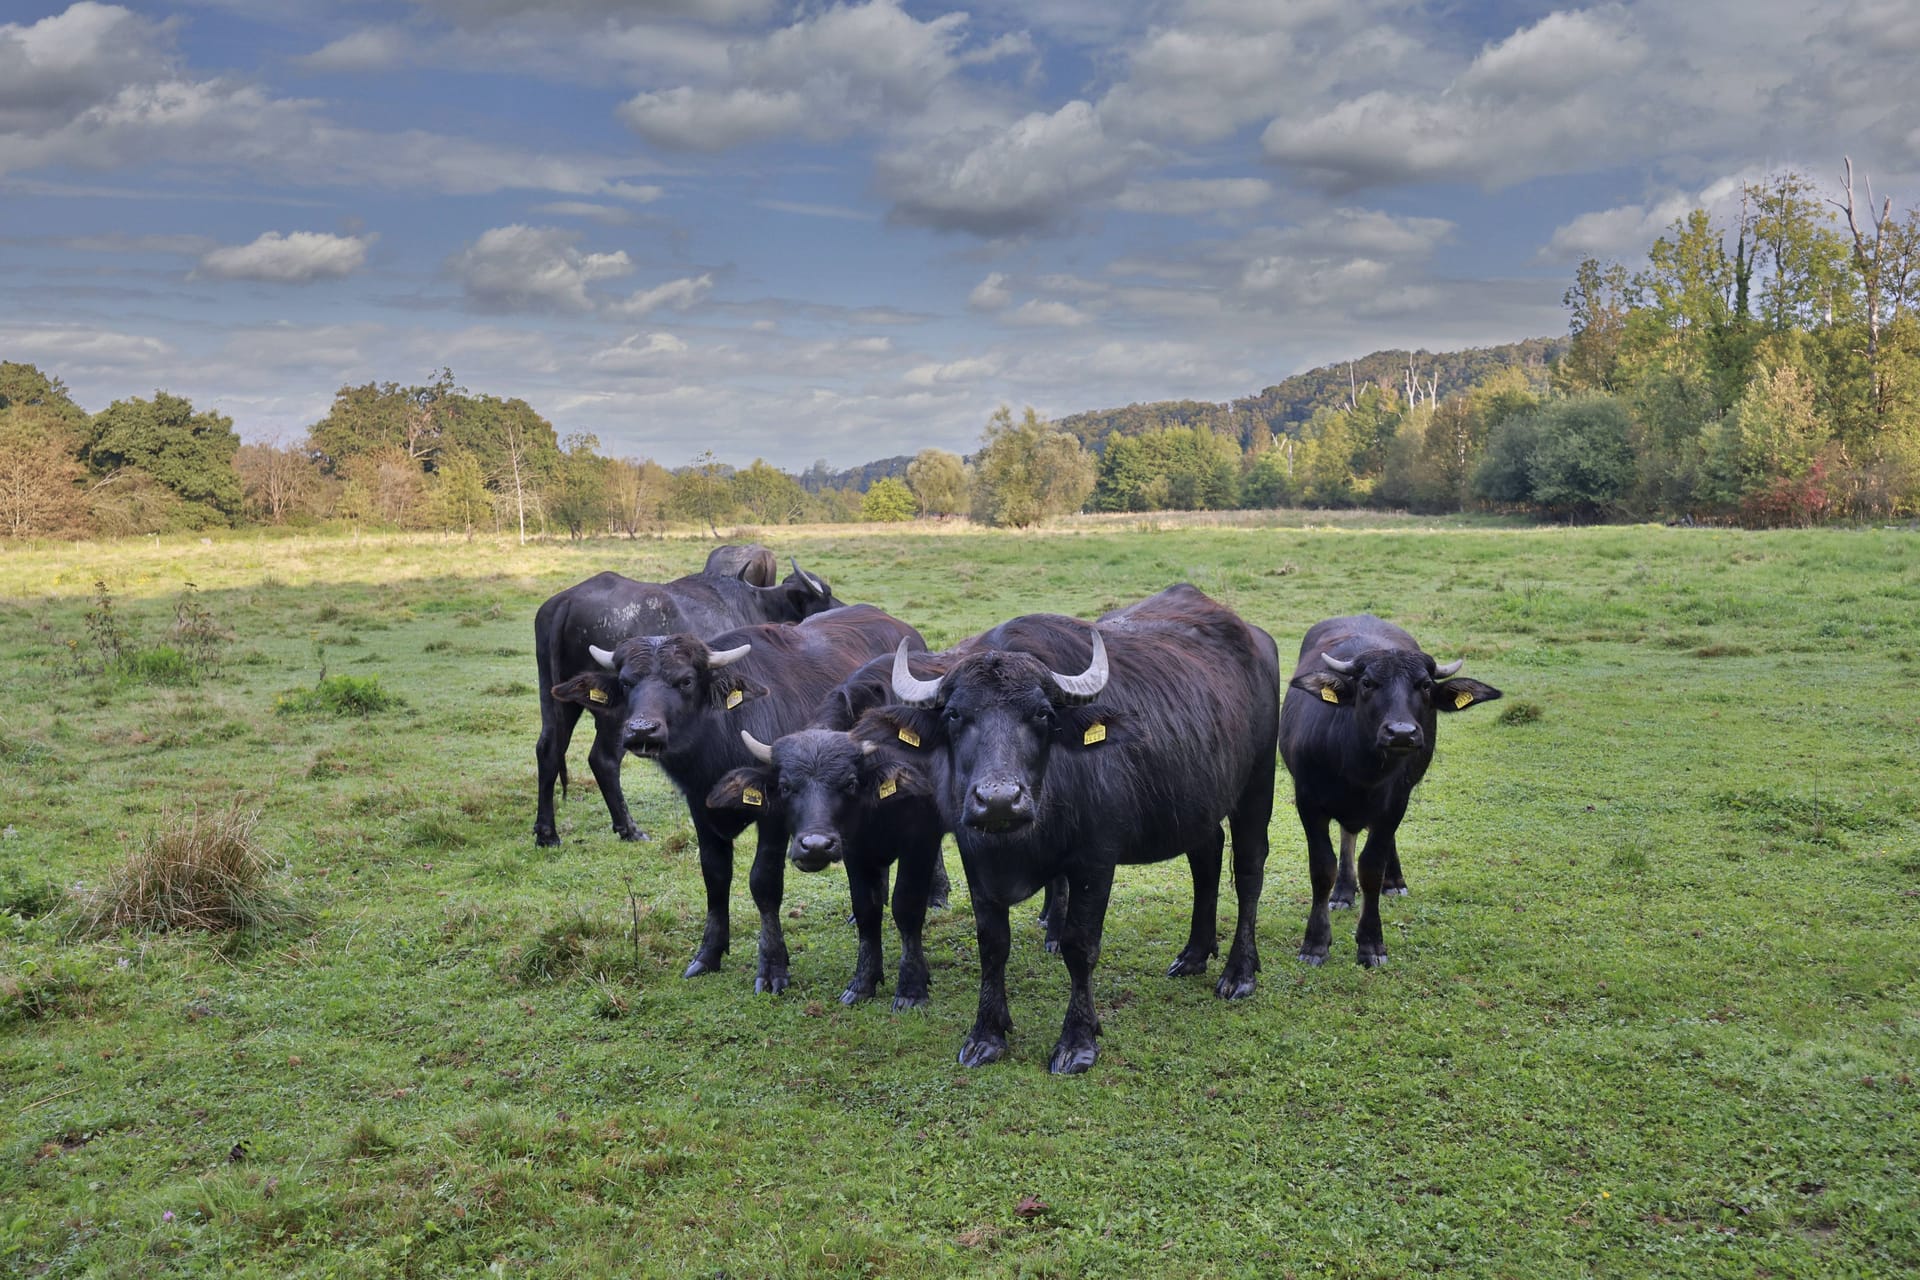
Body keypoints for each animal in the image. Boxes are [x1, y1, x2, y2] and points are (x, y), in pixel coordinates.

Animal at [537, 556, 844, 844]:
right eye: (825, 593)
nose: (840, 608)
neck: (755, 602)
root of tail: (566, 601)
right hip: (614, 717)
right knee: (603, 759)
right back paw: (630, 829)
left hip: (556, 699)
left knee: (548, 749)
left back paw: (547, 833)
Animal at [549, 606, 921, 997]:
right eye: (625, 683)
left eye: (685, 681)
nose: (641, 731)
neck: (720, 741)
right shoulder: (700, 806)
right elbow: (714, 875)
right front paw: (708, 954)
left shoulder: (774, 817)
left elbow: (764, 883)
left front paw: (772, 966)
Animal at [702, 652, 956, 1013]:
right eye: (785, 786)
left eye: (849, 782)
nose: (816, 846)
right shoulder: (855, 850)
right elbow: (866, 909)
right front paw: (863, 983)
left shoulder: (920, 840)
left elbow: (906, 908)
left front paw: (911, 988)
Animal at [856, 587, 1274, 1074]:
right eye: (956, 715)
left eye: (1041, 714)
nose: (999, 799)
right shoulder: (974, 856)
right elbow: (992, 945)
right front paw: (987, 1035)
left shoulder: (1096, 860)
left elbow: (1080, 945)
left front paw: (1077, 1041)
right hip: (1197, 802)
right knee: (1206, 860)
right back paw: (1192, 955)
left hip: (1257, 785)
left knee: (1249, 873)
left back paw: (1238, 974)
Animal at [1282, 614, 1505, 967]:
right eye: (1367, 683)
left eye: (1424, 685)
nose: (1401, 733)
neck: (1359, 769)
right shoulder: (1307, 801)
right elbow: (1322, 869)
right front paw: (1315, 944)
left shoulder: (1394, 804)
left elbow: (1372, 867)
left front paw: (1371, 943)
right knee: (1347, 835)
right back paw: (1343, 892)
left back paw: (1394, 881)